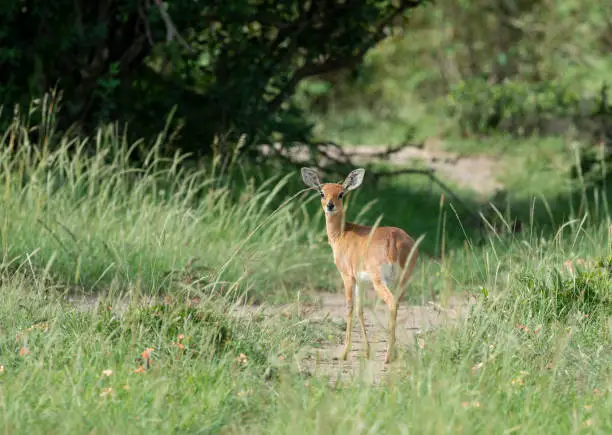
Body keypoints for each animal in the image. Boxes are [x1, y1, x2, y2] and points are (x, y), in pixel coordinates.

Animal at [302, 167, 420, 364]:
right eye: (322, 192)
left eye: (341, 193)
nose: (330, 205)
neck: (342, 235)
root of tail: (394, 241)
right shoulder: (361, 281)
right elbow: (360, 310)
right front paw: (366, 351)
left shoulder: (347, 277)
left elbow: (349, 308)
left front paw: (345, 352)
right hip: (402, 281)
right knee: (397, 304)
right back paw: (393, 353)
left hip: (380, 281)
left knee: (391, 303)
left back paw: (387, 356)